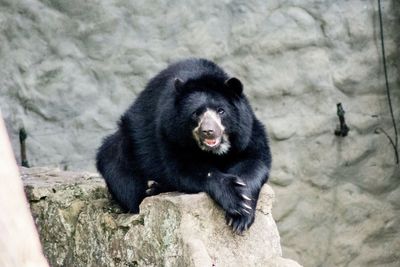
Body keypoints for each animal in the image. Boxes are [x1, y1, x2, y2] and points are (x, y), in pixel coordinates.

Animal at [96, 57, 272, 233]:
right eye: (196, 113)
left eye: (221, 111)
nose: (208, 131)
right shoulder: (170, 132)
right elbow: (184, 169)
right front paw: (235, 198)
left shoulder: (247, 131)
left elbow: (254, 160)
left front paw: (242, 212)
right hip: (126, 144)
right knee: (119, 171)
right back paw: (153, 187)